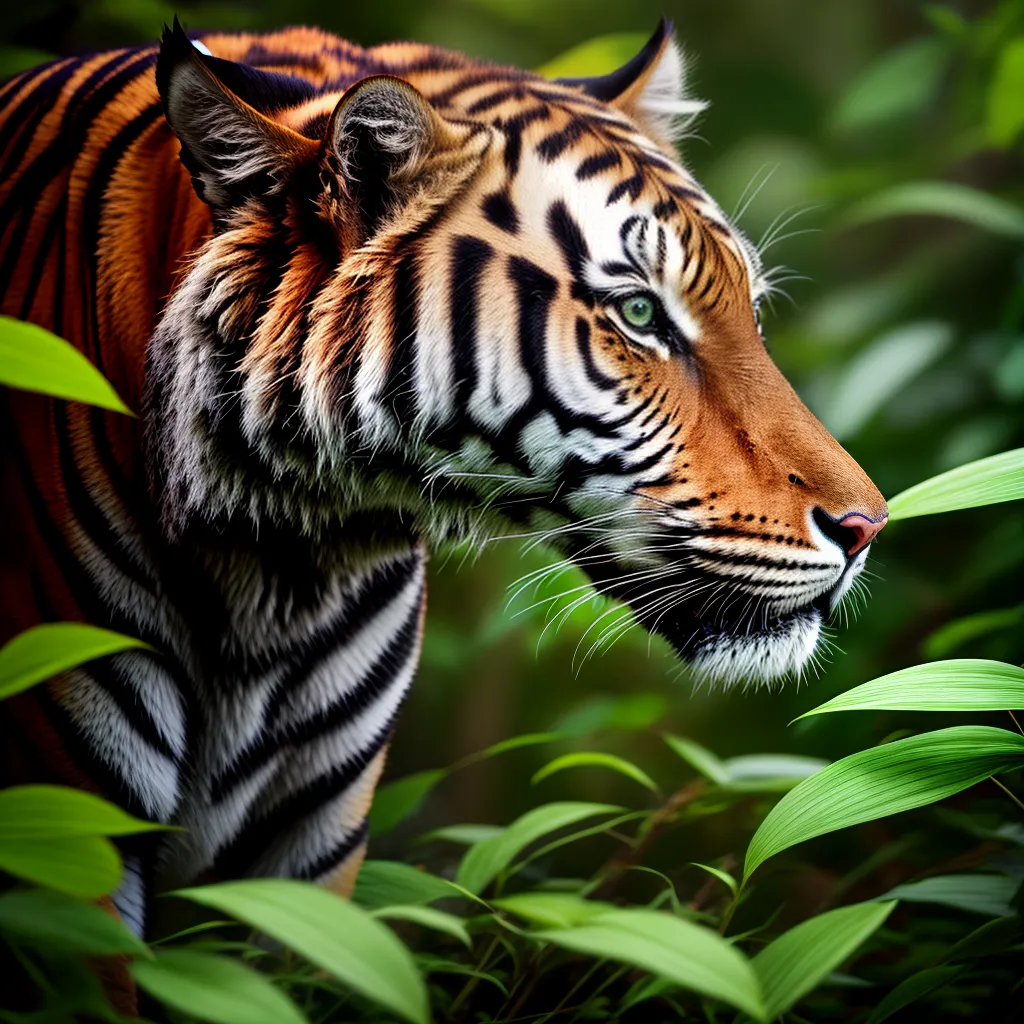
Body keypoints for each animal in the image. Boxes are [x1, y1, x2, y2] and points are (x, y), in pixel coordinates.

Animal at [0, 17, 887, 937]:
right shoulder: (70, 833)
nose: (869, 527)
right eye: (640, 313)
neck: (282, 558)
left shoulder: (307, 851)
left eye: (751, 312)